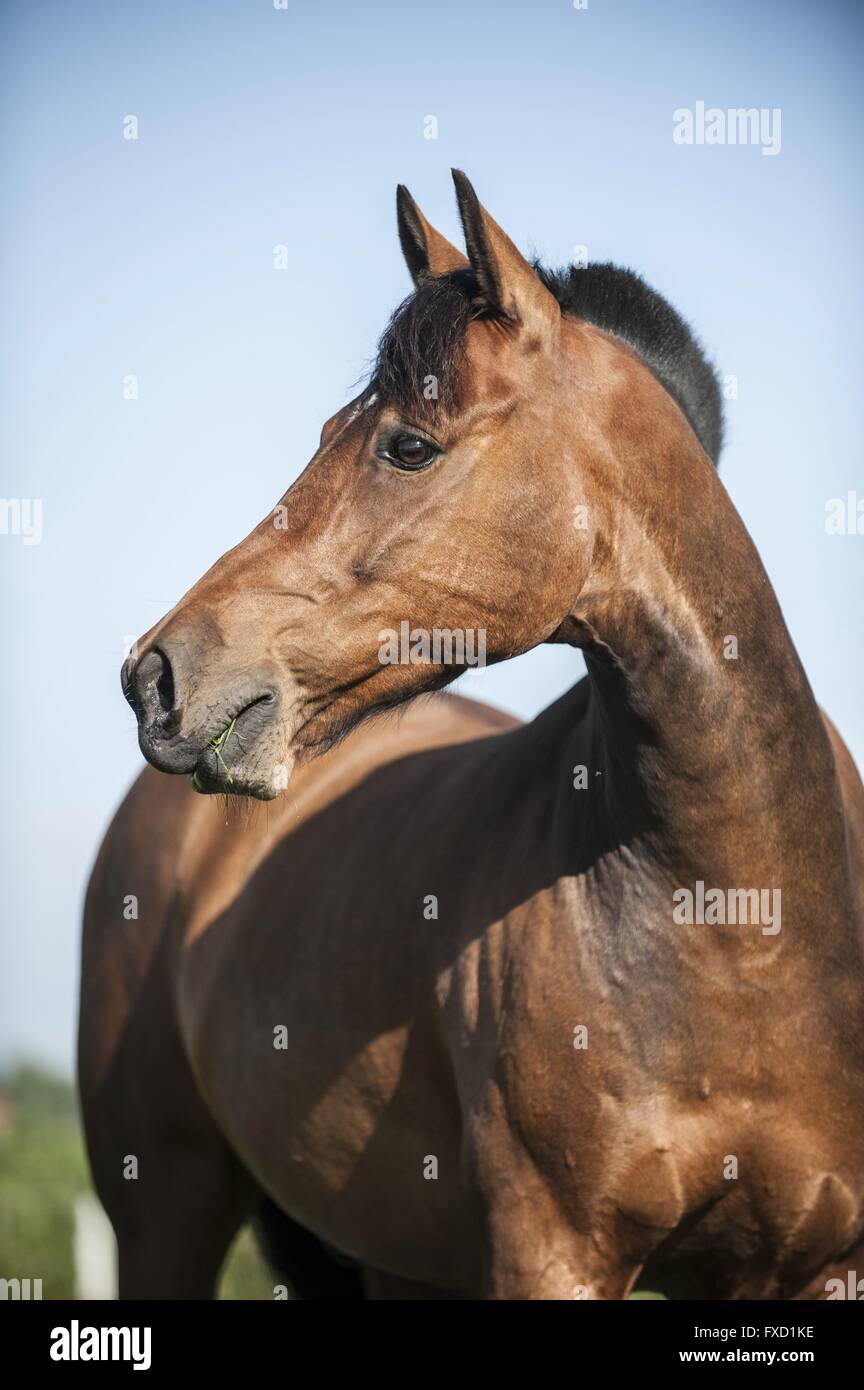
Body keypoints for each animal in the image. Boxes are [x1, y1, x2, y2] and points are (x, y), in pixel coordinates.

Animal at [79, 171, 864, 1300]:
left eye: (408, 444)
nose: (158, 675)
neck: (740, 921)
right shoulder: (551, 1250)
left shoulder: (820, 1263)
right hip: (166, 1212)